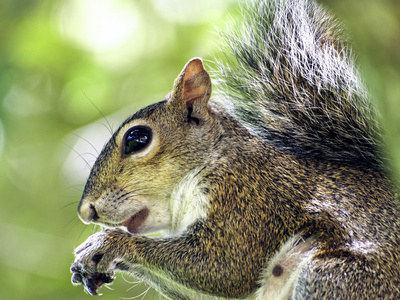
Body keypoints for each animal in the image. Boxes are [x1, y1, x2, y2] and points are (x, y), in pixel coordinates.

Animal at [69, 0, 400, 298]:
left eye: (137, 139)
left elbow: (223, 267)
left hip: (331, 277)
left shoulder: (249, 199)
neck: (215, 159)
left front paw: (106, 243)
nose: (86, 211)